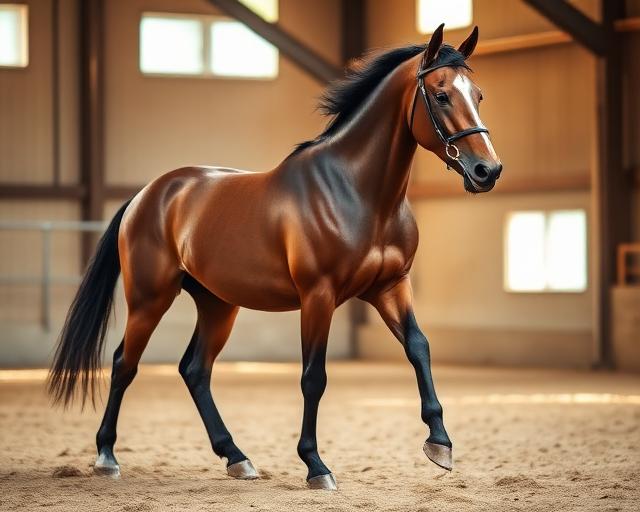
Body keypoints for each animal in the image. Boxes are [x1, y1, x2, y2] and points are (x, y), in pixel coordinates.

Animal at [48, 24, 501, 490]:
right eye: (442, 94)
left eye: (478, 94)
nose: (487, 171)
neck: (358, 193)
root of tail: (147, 194)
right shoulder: (318, 296)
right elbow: (313, 377)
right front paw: (316, 466)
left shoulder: (390, 287)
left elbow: (418, 347)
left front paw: (439, 443)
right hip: (149, 299)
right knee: (125, 364)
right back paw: (106, 456)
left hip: (217, 303)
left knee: (195, 370)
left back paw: (237, 458)